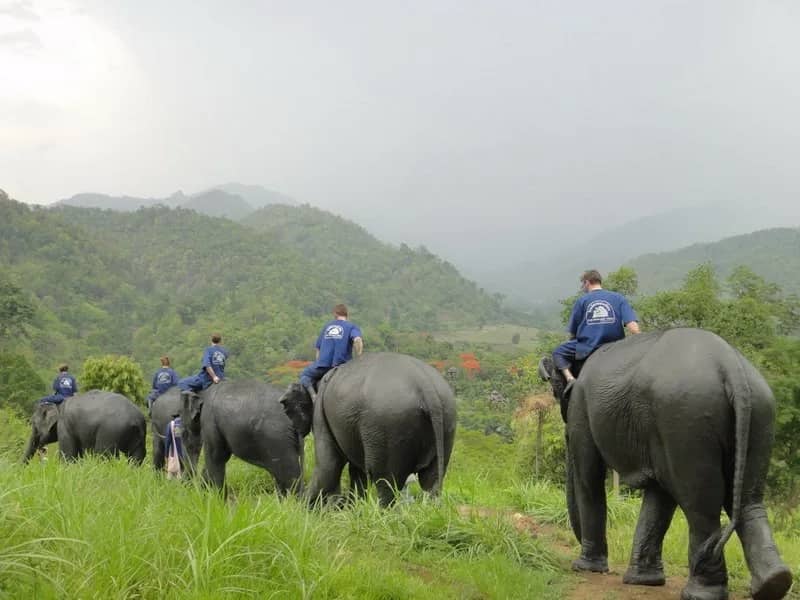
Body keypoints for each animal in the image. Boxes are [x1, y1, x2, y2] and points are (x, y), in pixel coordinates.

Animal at [179, 380, 312, 494]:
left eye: (184, 433)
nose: (186, 487)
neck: (203, 391)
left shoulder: (209, 420)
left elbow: (216, 457)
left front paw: (217, 500)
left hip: (278, 439)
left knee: (289, 477)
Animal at [279, 352, 457, 506]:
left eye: (287, 408)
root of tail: (425, 384)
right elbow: (356, 471)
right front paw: (352, 508)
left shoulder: (320, 415)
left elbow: (328, 466)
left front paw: (300, 510)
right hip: (446, 418)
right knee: (432, 478)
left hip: (386, 425)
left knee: (385, 479)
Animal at [539, 327, 792, 600]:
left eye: (555, 391)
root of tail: (729, 365)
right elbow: (659, 496)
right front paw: (644, 582)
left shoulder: (581, 407)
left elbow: (590, 477)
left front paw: (586, 568)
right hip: (759, 413)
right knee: (748, 500)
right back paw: (774, 582)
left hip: (685, 416)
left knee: (700, 505)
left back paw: (700, 593)